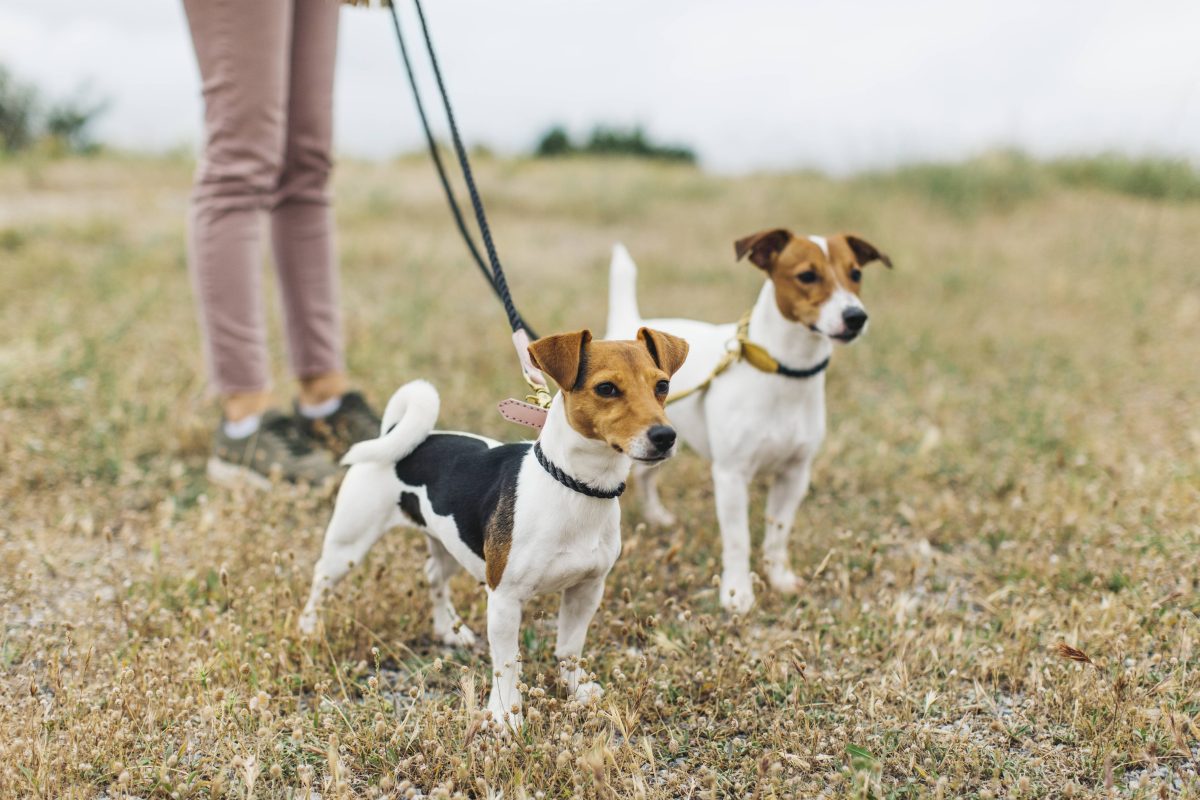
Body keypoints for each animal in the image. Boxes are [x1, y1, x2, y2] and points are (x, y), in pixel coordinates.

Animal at [297, 326, 686, 734]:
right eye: (607, 388)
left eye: (662, 385)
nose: (665, 436)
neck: (575, 487)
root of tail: (398, 433)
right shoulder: (504, 598)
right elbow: (508, 662)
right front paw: (505, 715)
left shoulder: (587, 589)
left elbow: (569, 649)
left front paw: (576, 690)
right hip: (348, 547)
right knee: (321, 580)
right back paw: (308, 627)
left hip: (449, 541)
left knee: (434, 575)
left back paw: (449, 630)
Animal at [604, 230, 888, 614]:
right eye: (807, 276)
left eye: (856, 273)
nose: (856, 316)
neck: (785, 373)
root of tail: (628, 328)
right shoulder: (731, 476)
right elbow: (738, 541)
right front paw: (737, 593)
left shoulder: (794, 475)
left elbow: (778, 534)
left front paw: (779, 578)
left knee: (648, 477)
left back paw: (657, 515)